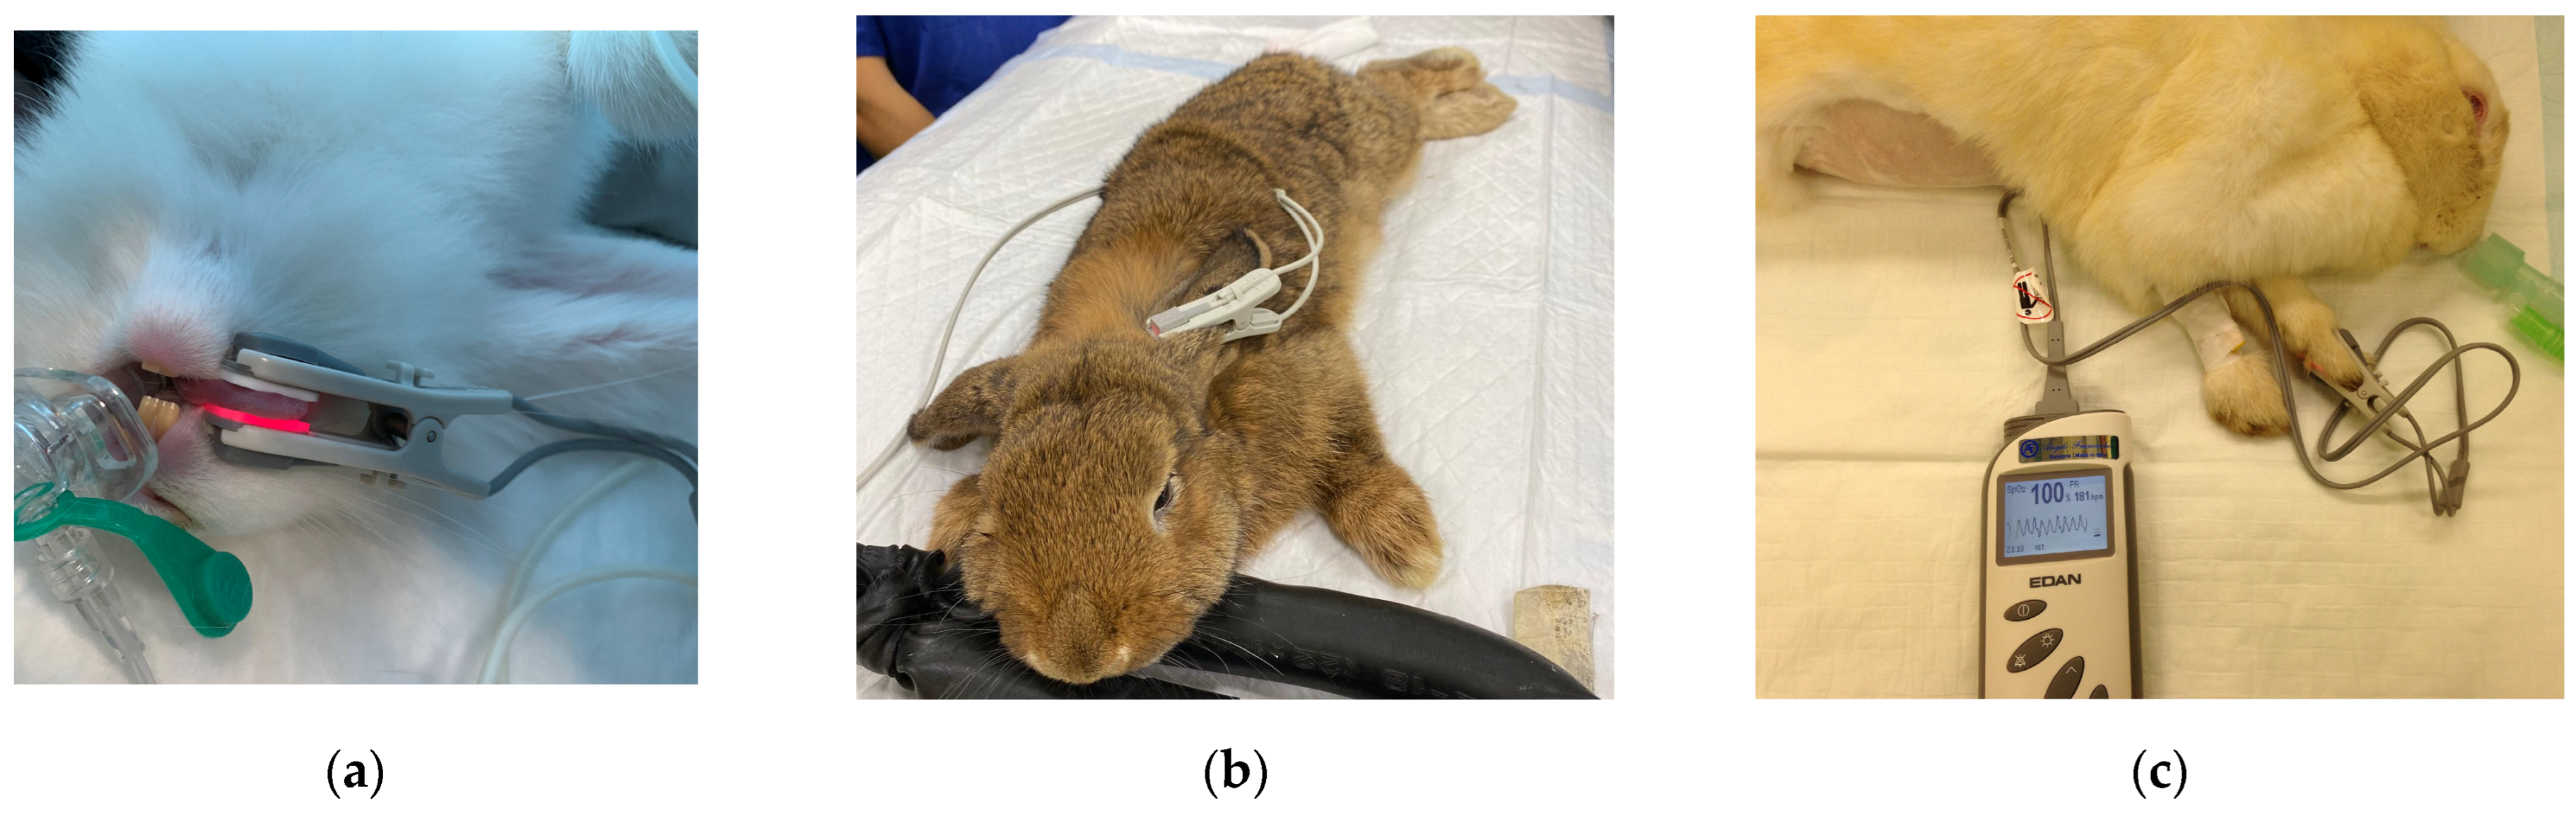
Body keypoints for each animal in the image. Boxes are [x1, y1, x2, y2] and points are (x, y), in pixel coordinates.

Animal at [903, 47, 1517, 685]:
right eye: (998, 506)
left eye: (1165, 495)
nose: (1078, 658)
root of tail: (1292, 59)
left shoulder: (1315, 357)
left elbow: (1352, 445)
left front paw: (1409, 544)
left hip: (1383, 142)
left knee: (1400, 90)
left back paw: (1479, 87)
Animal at [1757, 17, 2509, 434]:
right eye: (2473, 107)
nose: (2468, 241)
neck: (2345, 70)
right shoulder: (2169, 212)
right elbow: (2203, 304)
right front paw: (2250, 398)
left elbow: (2278, 293)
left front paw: (2340, 363)